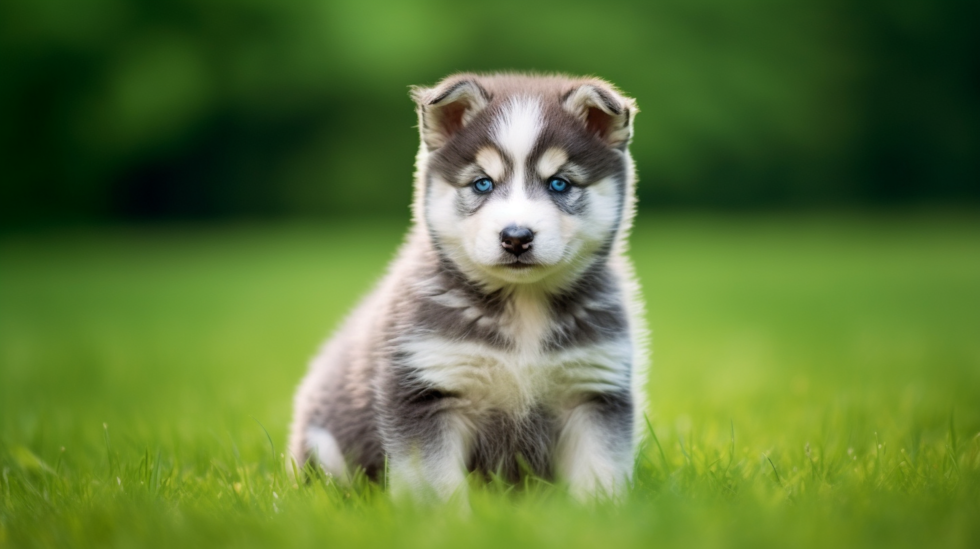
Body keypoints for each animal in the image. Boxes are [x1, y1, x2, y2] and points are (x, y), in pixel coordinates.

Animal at [288, 71, 648, 500]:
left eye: (559, 184)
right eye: (482, 184)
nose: (516, 237)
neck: (525, 305)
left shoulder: (596, 388)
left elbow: (600, 475)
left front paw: (598, 510)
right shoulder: (426, 387)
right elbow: (436, 486)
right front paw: (442, 514)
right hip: (324, 448)